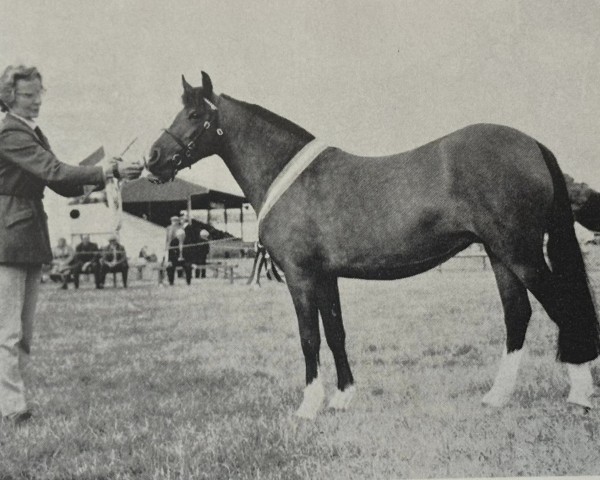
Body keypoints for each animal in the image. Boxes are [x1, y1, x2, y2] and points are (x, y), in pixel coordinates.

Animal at [146, 72, 600, 420]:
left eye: (195, 115)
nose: (152, 158)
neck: (290, 178)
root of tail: (533, 145)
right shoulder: (326, 276)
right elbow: (336, 333)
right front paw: (343, 397)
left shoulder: (300, 275)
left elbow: (309, 336)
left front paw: (309, 405)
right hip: (501, 255)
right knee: (517, 315)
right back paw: (497, 396)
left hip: (521, 254)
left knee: (562, 308)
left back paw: (578, 395)